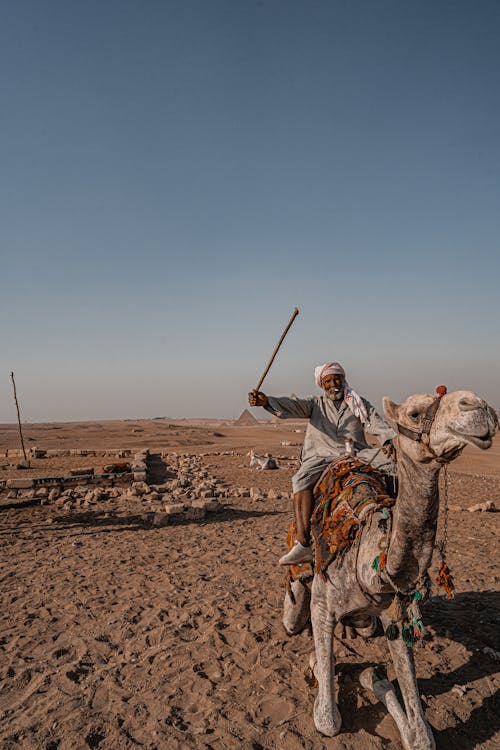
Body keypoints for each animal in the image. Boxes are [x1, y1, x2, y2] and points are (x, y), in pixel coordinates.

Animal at [282, 390, 496, 748]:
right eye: (413, 413)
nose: (480, 407)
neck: (371, 565)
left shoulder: (396, 613)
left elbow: (422, 737)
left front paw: (375, 676)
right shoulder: (323, 606)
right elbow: (328, 721)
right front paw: (324, 665)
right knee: (296, 598)